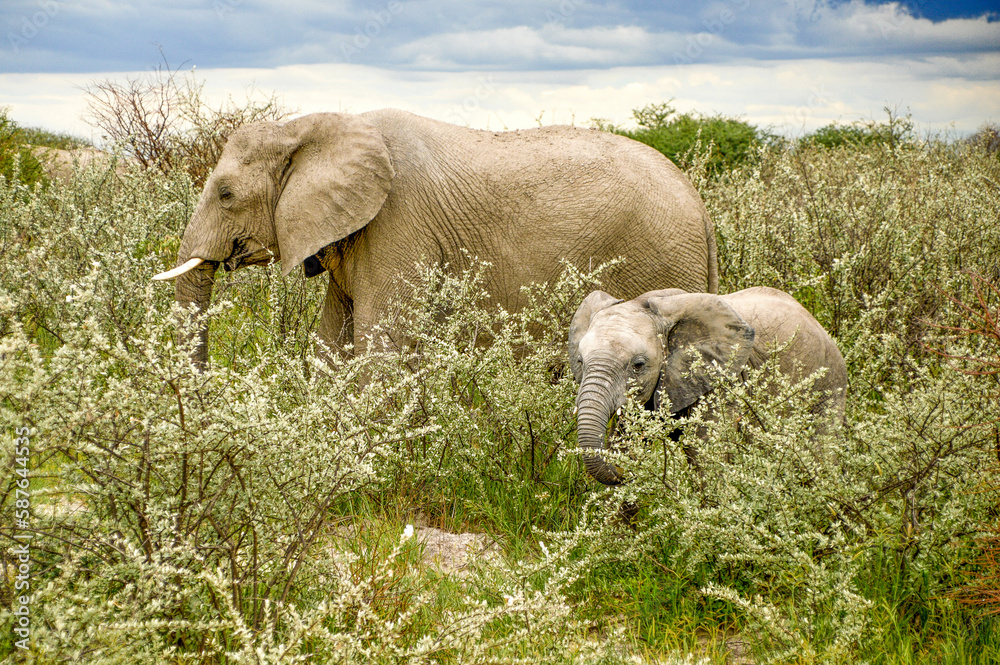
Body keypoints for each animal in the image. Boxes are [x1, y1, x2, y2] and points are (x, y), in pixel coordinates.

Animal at [153, 109, 718, 367]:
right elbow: (333, 340)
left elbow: (380, 344)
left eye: (225, 194)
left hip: (656, 258)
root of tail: (701, 209)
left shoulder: (398, 226)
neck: (309, 125)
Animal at [568, 287, 848, 485]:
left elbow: (706, 456)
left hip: (830, 383)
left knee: (822, 451)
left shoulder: (718, 379)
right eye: (580, 361)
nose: (620, 469)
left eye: (638, 365)